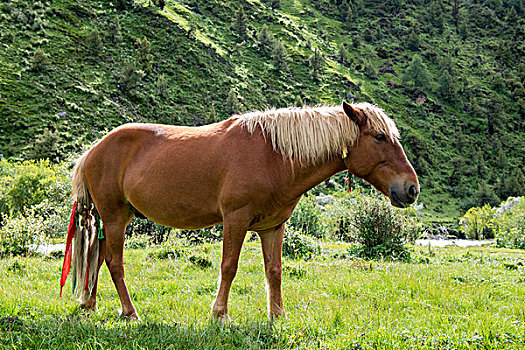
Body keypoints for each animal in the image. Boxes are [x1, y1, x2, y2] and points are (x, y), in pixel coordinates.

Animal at [59, 100, 418, 322]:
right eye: (380, 137)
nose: (411, 189)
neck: (274, 155)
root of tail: (93, 150)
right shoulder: (235, 219)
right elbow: (229, 267)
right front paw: (220, 314)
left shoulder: (273, 226)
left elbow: (274, 271)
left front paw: (278, 316)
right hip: (115, 217)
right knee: (113, 262)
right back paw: (130, 312)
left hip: (113, 218)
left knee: (97, 257)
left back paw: (89, 305)